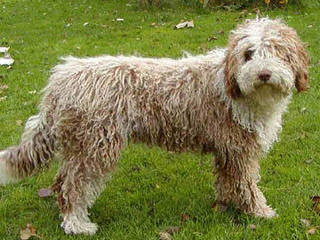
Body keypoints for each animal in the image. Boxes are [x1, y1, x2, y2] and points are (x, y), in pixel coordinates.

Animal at [0, 18, 310, 234]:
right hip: (95, 146)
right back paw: (77, 224)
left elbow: (227, 180)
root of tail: (60, 80)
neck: (231, 82)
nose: (264, 74)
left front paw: (227, 204)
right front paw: (259, 211)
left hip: (81, 145)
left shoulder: (227, 148)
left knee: (61, 182)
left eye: (277, 51)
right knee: (72, 187)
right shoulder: (240, 148)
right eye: (249, 54)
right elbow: (246, 184)